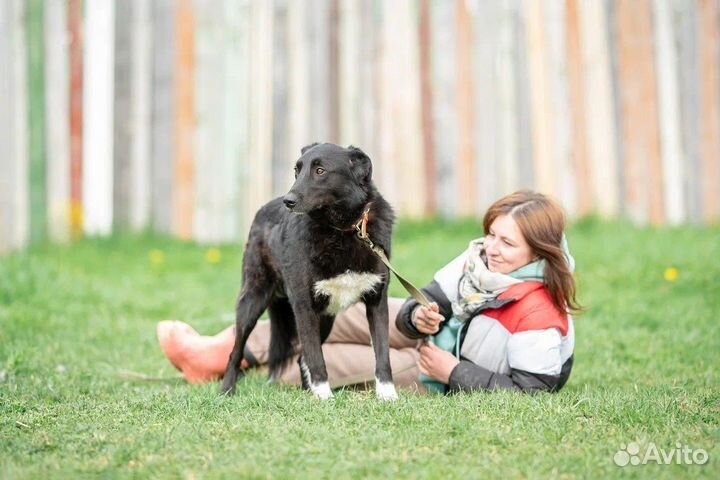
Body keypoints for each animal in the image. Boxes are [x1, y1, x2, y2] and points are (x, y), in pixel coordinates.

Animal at [221, 142, 400, 402]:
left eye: (320, 171)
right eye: (297, 170)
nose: (288, 201)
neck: (343, 229)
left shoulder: (377, 301)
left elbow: (382, 353)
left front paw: (388, 395)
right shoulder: (304, 306)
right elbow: (316, 357)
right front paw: (325, 397)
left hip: (326, 318)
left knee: (300, 358)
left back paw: (308, 393)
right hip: (252, 302)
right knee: (236, 352)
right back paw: (225, 392)